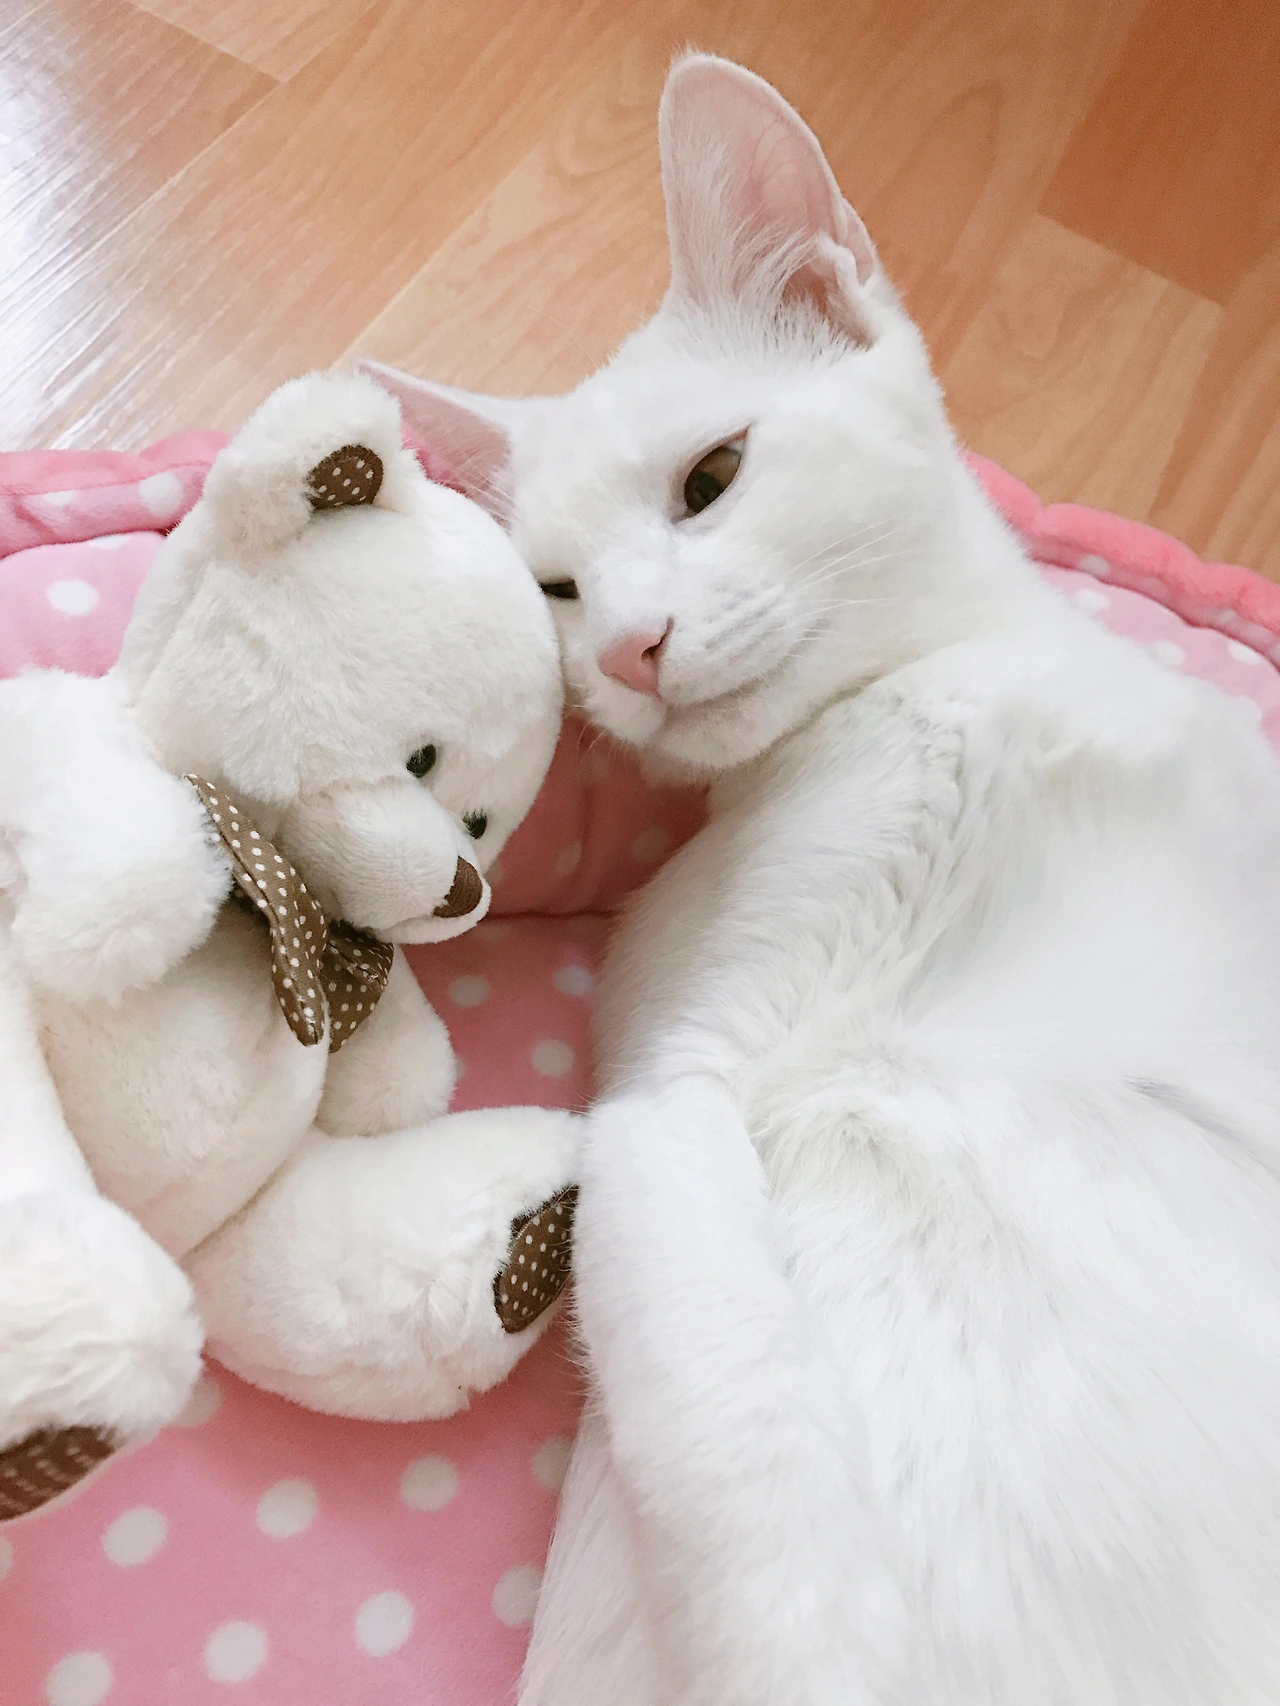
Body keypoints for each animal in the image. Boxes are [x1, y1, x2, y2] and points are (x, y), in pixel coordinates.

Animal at [363, 53, 1280, 1706]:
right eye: (554, 588)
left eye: (714, 478)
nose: (626, 650)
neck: (944, 689)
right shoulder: (669, 1097)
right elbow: (765, 1513)